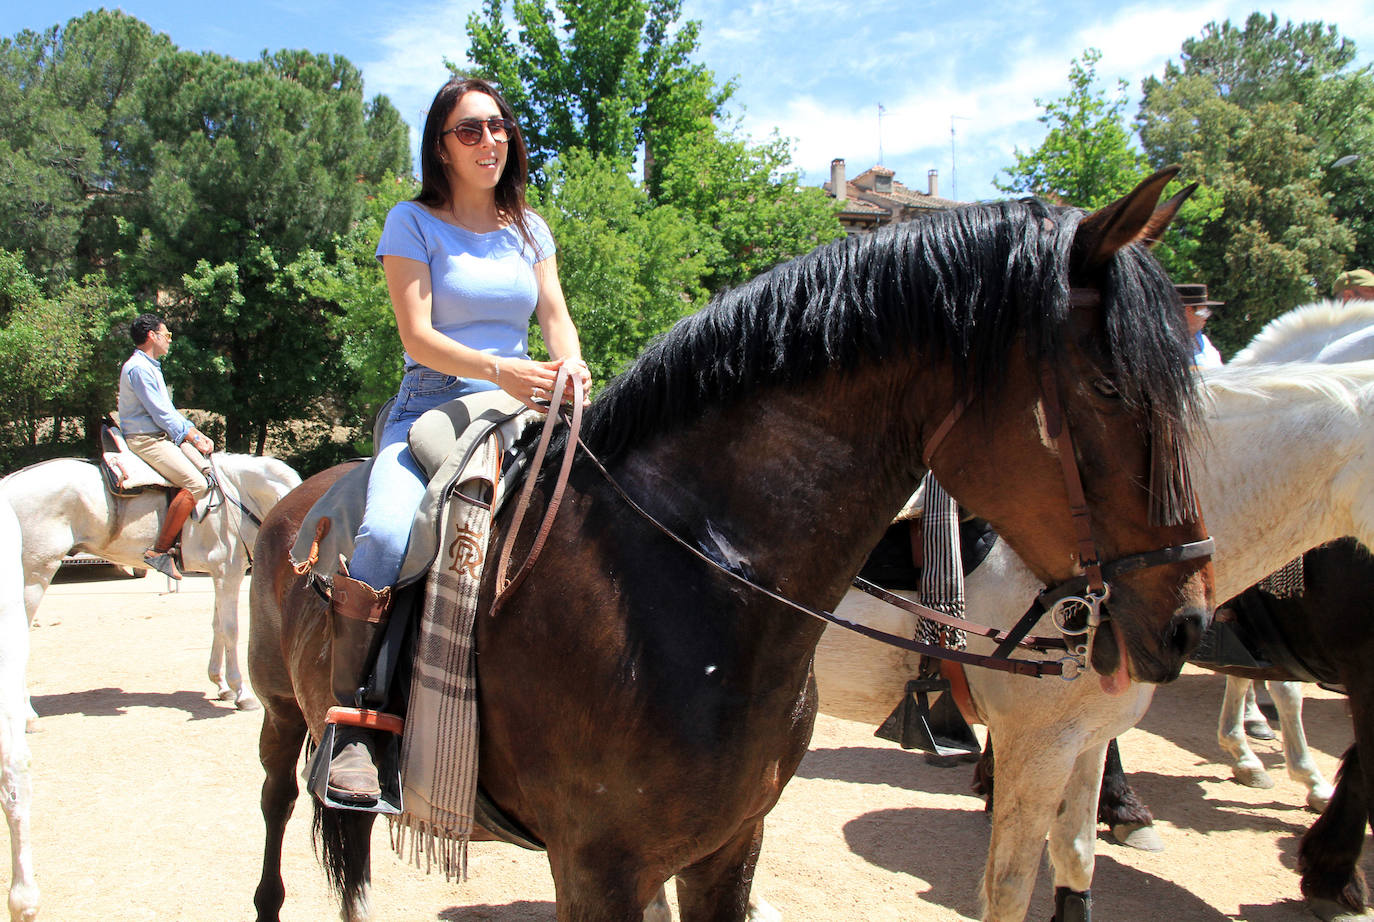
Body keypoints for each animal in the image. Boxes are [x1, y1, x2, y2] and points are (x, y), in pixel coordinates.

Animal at [0, 456, 300, 714]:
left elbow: (216, 627)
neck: (241, 494)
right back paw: (26, 714)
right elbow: (230, 630)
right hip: (35, 576)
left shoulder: (219, 575)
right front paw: (241, 693)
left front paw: (221, 685)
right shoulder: (228, 573)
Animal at [247, 167, 1214, 922]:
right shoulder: (596, 870)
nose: (1189, 620)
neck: (685, 587)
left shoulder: (728, 848)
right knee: (275, 805)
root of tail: (298, 496)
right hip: (283, 713)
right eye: (1109, 386)